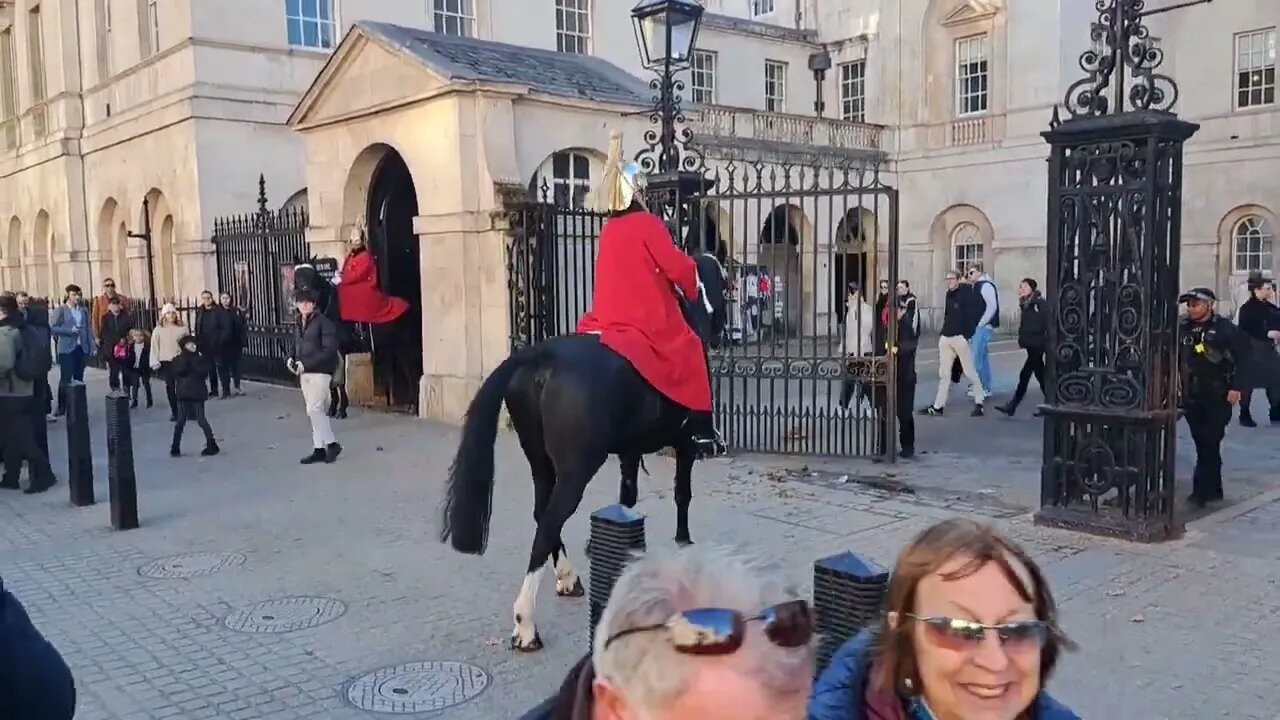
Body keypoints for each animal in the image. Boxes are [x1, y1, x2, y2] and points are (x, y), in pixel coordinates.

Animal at [440, 251, 727, 650]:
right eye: (726, 283)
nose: (722, 331)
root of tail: (541, 355)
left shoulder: (628, 450)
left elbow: (628, 495)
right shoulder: (684, 444)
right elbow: (681, 493)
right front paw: (683, 541)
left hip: (541, 460)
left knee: (543, 511)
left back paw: (568, 577)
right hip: (577, 469)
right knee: (549, 520)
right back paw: (526, 623)